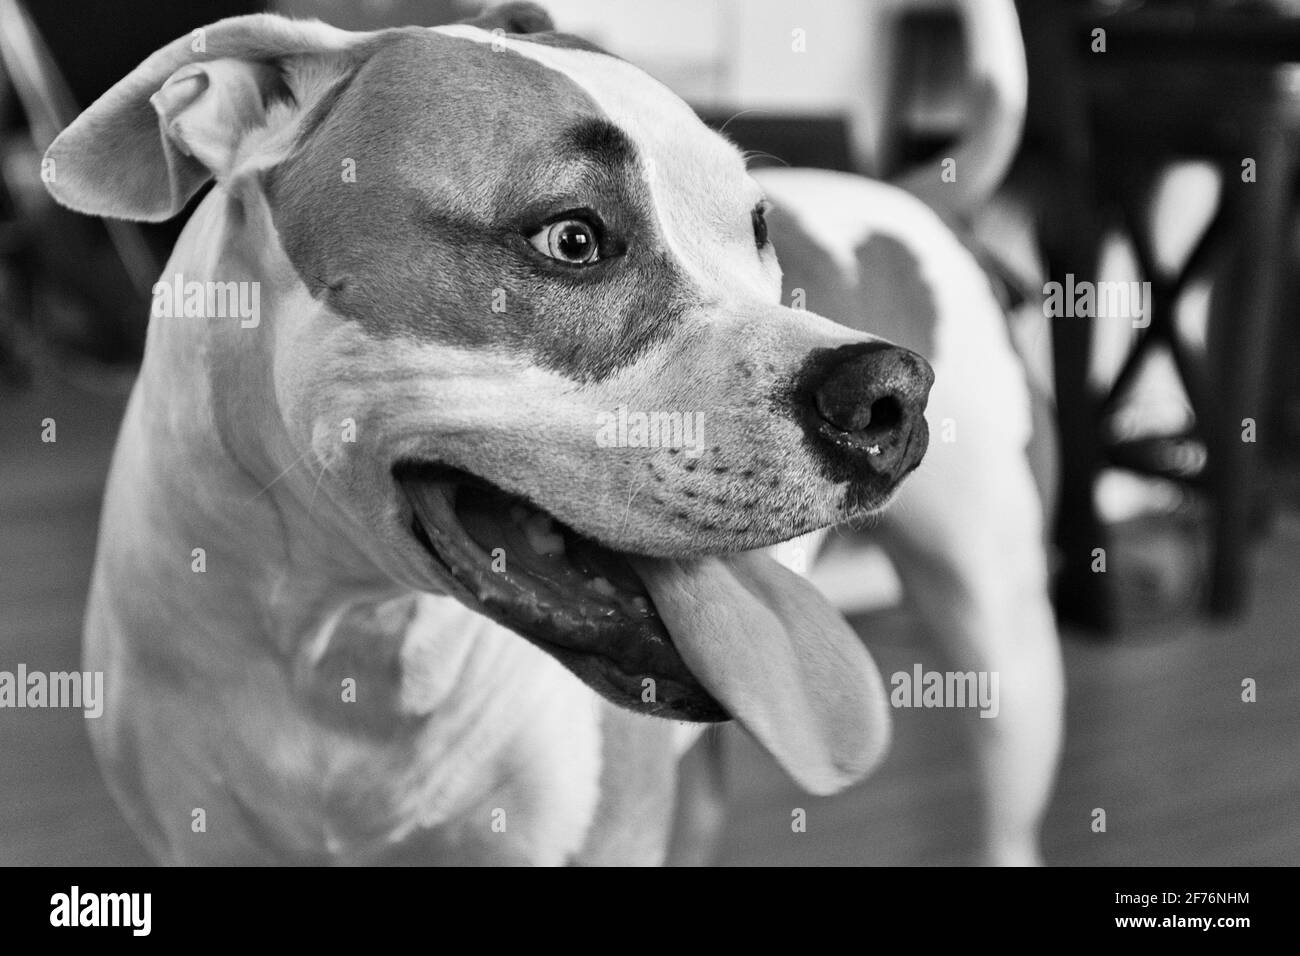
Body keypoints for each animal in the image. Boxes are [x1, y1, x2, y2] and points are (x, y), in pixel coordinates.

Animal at [45, 1, 1060, 868]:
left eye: (758, 227)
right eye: (571, 239)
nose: (890, 394)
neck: (342, 628)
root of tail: (912, 192)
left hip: (1004, 647)